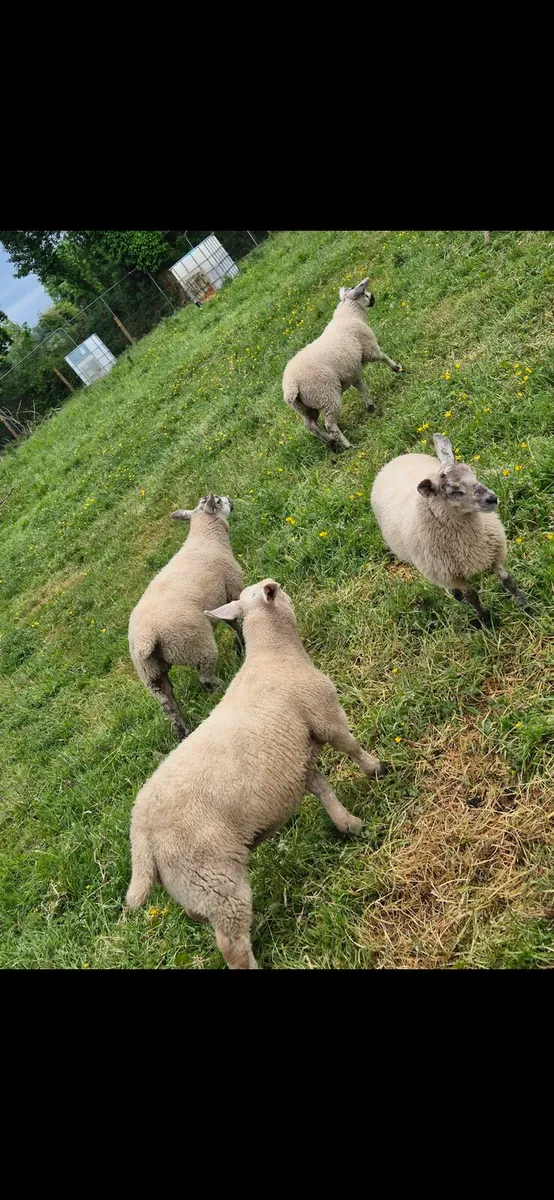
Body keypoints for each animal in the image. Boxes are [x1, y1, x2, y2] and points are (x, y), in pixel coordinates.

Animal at [126, 578, 386, 969]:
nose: (284, 589)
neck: (274, 655)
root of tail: (141, 838)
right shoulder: (325, 716)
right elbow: (351, 747)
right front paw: (376, 768)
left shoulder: (293, 759)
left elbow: (321, 786)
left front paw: (347, 823)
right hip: (214, 878)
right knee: (232, 947)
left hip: (195, 890)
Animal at [128, 493, 244, 741]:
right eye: (219, 500)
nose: (230, 498)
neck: (206, 537)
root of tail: (146, 639)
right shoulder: (231, 588)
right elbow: (234, 621)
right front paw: (241, 643)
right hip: (195, 645)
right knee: (205, 677)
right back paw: (221, 685)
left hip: (150, 674)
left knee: (168, 704)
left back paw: (182, 731)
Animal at [282, 277, 403, 450]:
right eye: (363, 292)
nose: (373, 297)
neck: (349, 315)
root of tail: (291, 386)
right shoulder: (369, 348)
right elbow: (383, 357)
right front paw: (397, 368)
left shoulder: (351, 372)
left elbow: (361, 387)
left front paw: (370, 405)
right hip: (326, 396)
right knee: (330, 425)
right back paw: (347, 445)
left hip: (305, 407)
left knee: (311, 426)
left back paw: (331, 442)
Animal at [370, 433, 528, 625]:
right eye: (454, 491)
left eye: (473, 474)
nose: (492, 499)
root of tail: (394, 460)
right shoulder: (451, 575)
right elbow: (472, 596)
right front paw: (484, 620)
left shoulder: (494, 555)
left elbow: (508, 581)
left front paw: (526, 607)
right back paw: (456, 596)